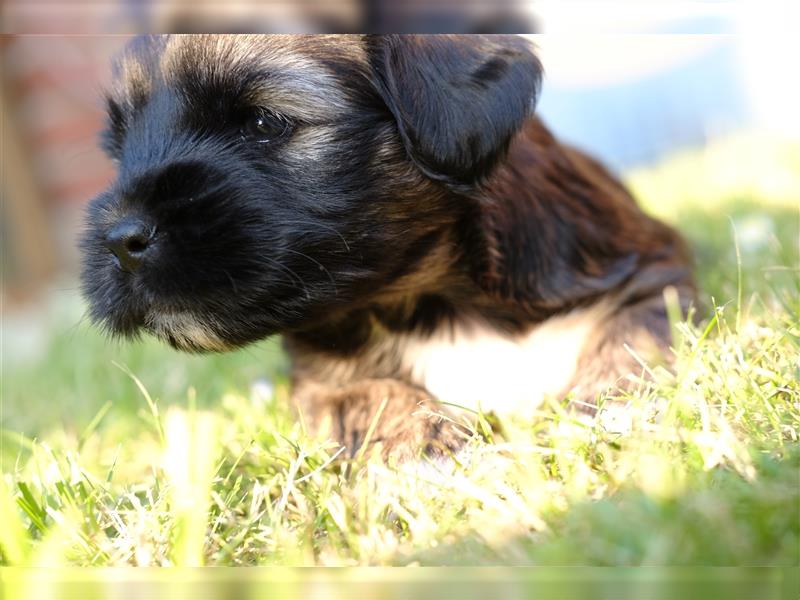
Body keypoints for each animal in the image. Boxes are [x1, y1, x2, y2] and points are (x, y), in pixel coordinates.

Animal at [79, 35, 692, 462]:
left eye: (264, 121)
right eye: (119, 147)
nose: (119, 241)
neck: (433, 299)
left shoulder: (652, 270)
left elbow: (631, 334)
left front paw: (613, 406)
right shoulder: (317, 383)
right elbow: (367, 393)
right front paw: (421, 439)